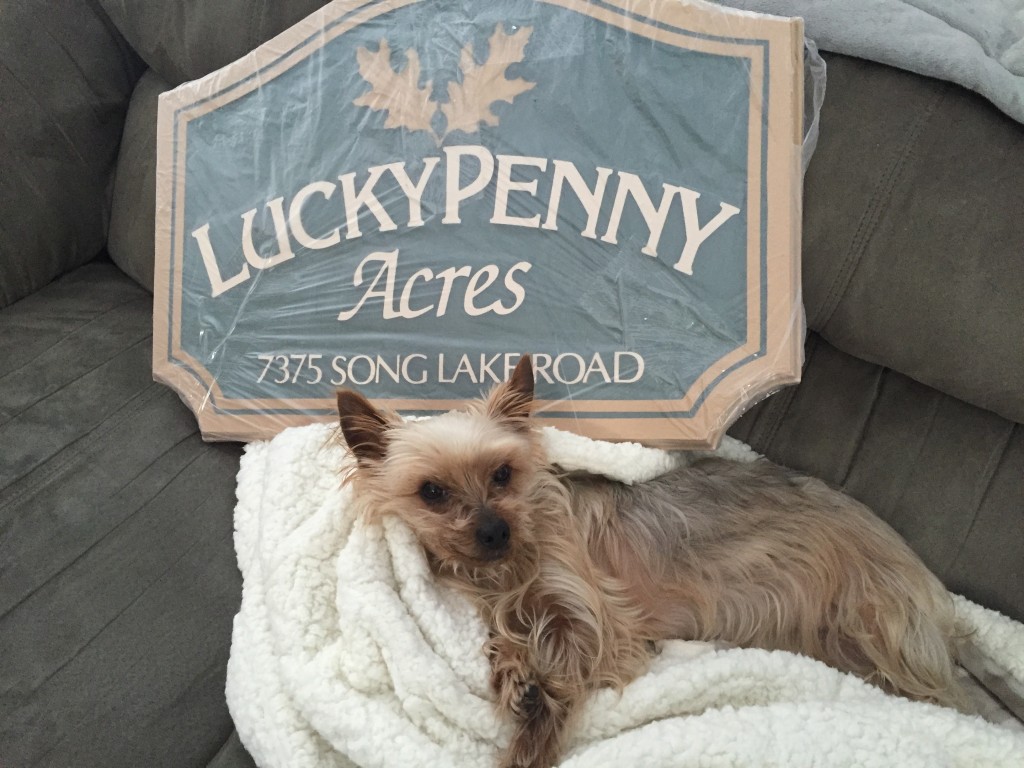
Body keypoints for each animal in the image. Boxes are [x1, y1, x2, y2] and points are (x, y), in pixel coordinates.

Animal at [333, 356, 958, 768]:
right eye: (432, 492)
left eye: (503, 473)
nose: (494, 531)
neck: (509, 567)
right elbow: (508, 637)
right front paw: (515, 673)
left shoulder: (594, 615)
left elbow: (568, 653)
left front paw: (533, 728)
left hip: (874, 620)